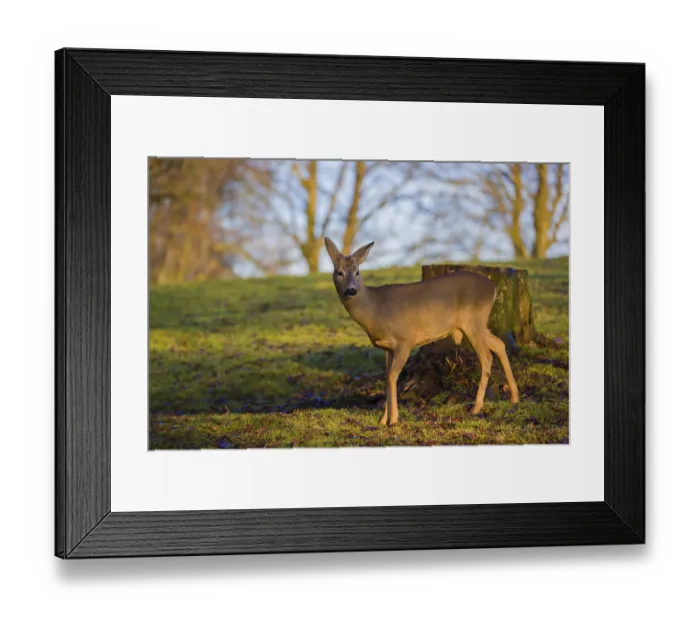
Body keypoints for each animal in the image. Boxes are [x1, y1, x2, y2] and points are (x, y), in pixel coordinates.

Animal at [324, 238, 519, 427]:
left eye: (357, 272)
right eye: (339, 272)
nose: (351, 290)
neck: (375, 309)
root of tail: (493, 287)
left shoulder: (405, 339)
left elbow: (393, 376)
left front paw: (393, 419)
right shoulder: (387, 347)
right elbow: (387, 377)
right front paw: (383, 419)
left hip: (473, 321)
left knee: (486, 356)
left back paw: (476, 407)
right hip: (475, 324)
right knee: (499, 344)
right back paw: (515, 398)